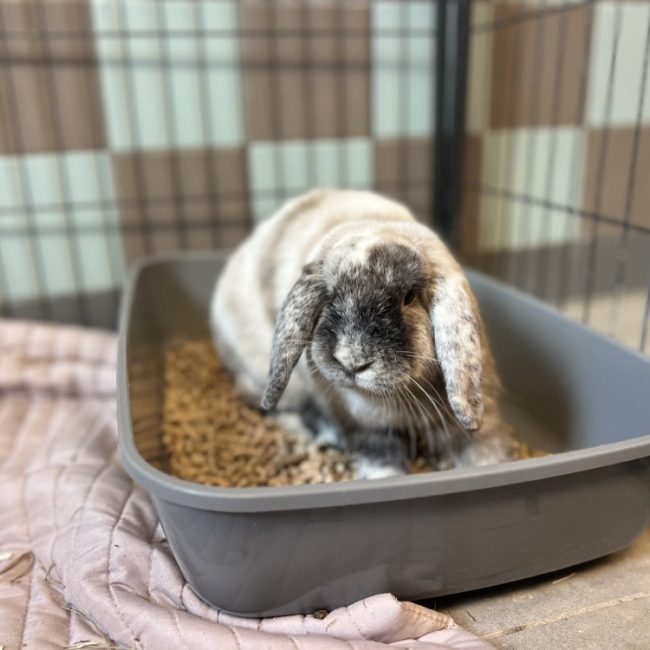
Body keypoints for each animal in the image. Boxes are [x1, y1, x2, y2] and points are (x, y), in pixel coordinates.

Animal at [211, 188, 515, 478]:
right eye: (330, 296)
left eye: (409, 296)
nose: (352, 361)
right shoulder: (366, 427)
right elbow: (380, 456)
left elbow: (483, 448)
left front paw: (490, 465)